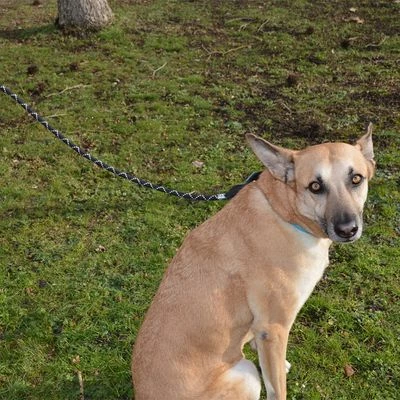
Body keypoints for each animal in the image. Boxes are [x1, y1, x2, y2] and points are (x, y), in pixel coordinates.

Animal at [132, 125, 375, 400]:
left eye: (356, 179)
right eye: (315, 186)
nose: (348, 229)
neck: (283, 212)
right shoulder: (274, 327)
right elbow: (276, 387)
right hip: (246, 374)